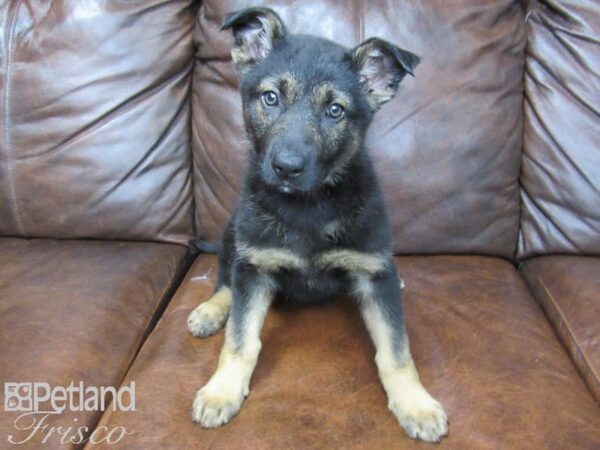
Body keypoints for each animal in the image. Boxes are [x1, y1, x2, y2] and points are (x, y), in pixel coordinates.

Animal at [190, 7, 448, 442]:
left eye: (335, 111)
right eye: (271, 98)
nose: (286, 168)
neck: (307, 205)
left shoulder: (372, 272)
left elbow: (395, 350)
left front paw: (415, 403)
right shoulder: (254, 266)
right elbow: (240, 340)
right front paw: (222, 391)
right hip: (231, 236)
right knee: (225, 280)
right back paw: (211, 310)